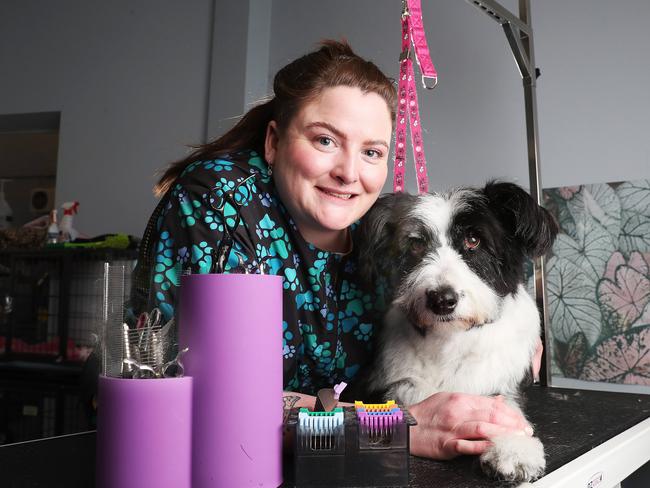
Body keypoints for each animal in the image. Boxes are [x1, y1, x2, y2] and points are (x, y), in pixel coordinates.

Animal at [356, 181, 556, 482]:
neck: (452, 337)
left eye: (473, 240)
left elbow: (506, 406)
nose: (441, 300)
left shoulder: (503, 381)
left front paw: (514, 449)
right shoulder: (393, 380)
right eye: (416, 244)